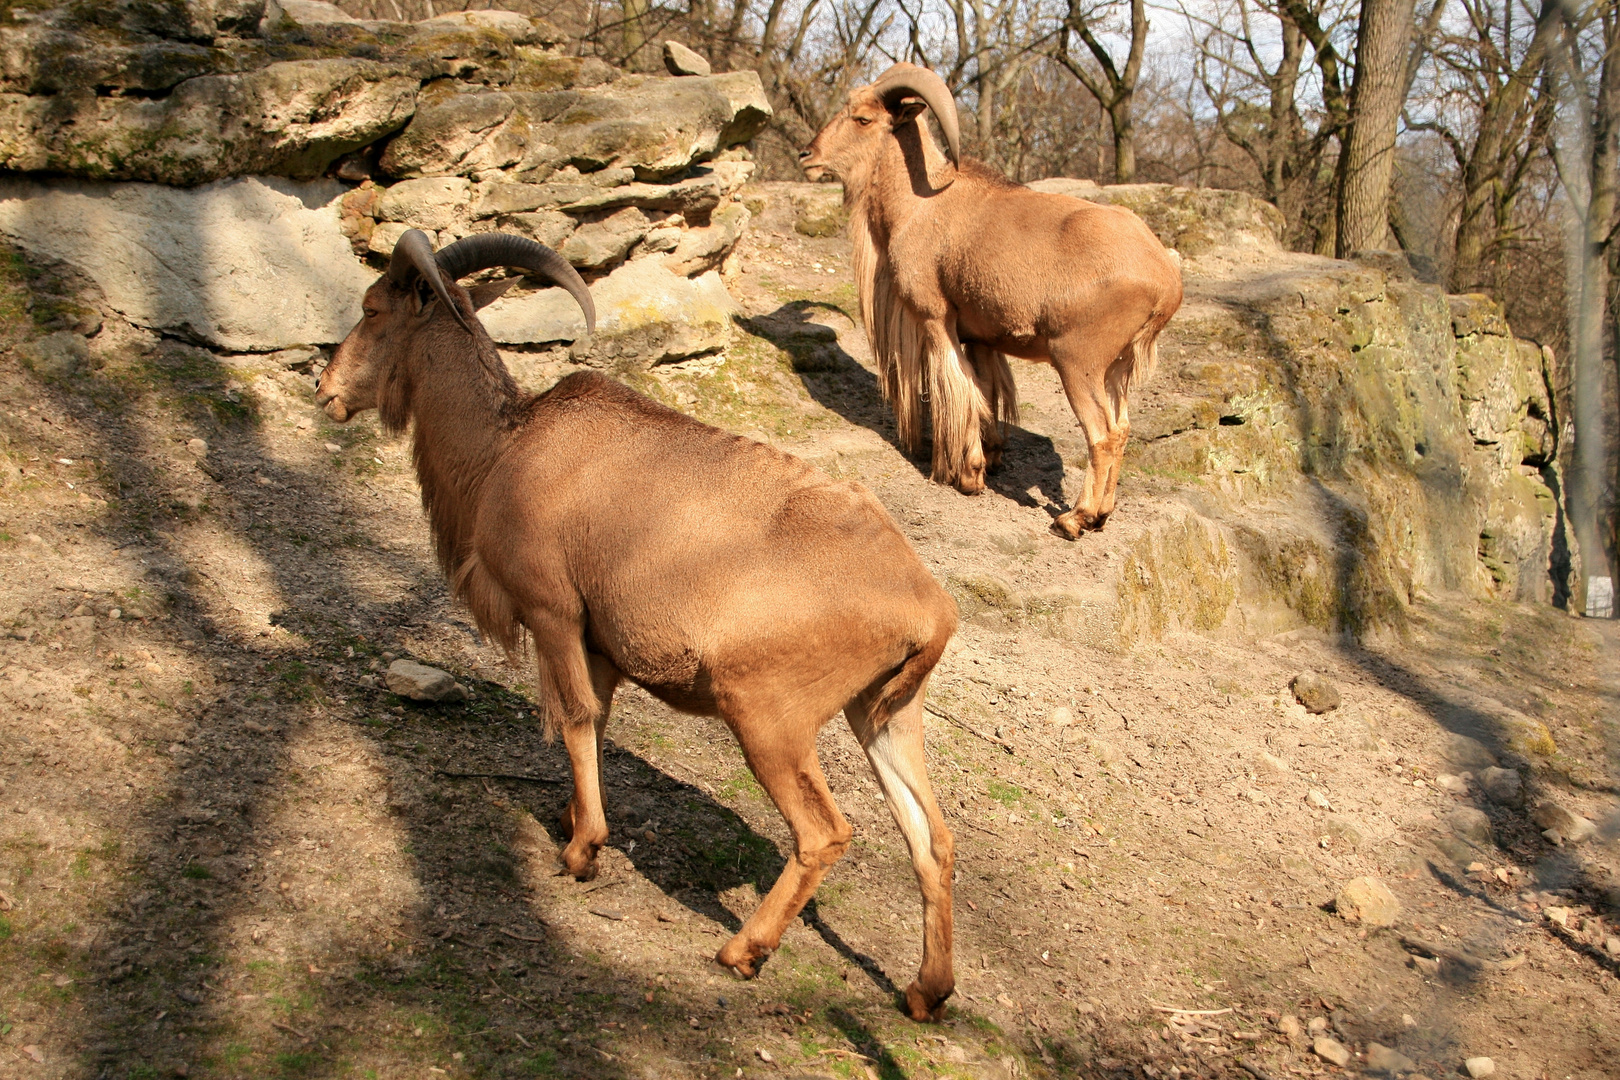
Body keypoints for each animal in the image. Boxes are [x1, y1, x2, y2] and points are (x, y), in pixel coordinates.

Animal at [315, 229, 959, 1023]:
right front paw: (570, 817)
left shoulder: (554, 612)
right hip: (885, 714)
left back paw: (744, 950)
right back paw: (926, 991)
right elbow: (593, 721)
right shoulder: (597, 643)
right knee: (932, 839)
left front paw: (581, 850)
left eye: (374, 309)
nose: (326, 390)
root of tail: (929, 607)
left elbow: (573, 717)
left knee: (825, 833)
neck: (507, 447)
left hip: (770, 720)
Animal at [803, 62, 1185, 537]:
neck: (921, 203)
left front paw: (966, 475)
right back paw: (1102, 514)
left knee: (1103, 434)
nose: (807, 155)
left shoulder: (934, 317)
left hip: (1078, 361)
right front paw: (992, 456)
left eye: (862, 118)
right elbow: (986, 392)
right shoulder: (982, 337)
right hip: (1116, 368)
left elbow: (958, 386)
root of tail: (1166, 277)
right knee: (1124, 426)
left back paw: (1076, 518)